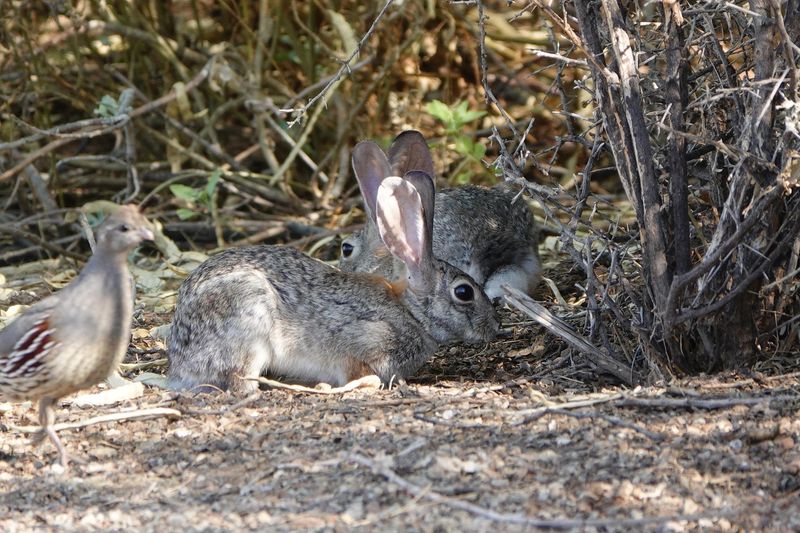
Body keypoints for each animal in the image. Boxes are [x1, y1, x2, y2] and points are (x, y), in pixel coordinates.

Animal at [166, 164, 500, 393]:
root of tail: (179, 362)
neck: (412, 314)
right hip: (249, 321)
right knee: (239, 382)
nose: (494, 326)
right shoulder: (364, 344)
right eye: (464, 292)